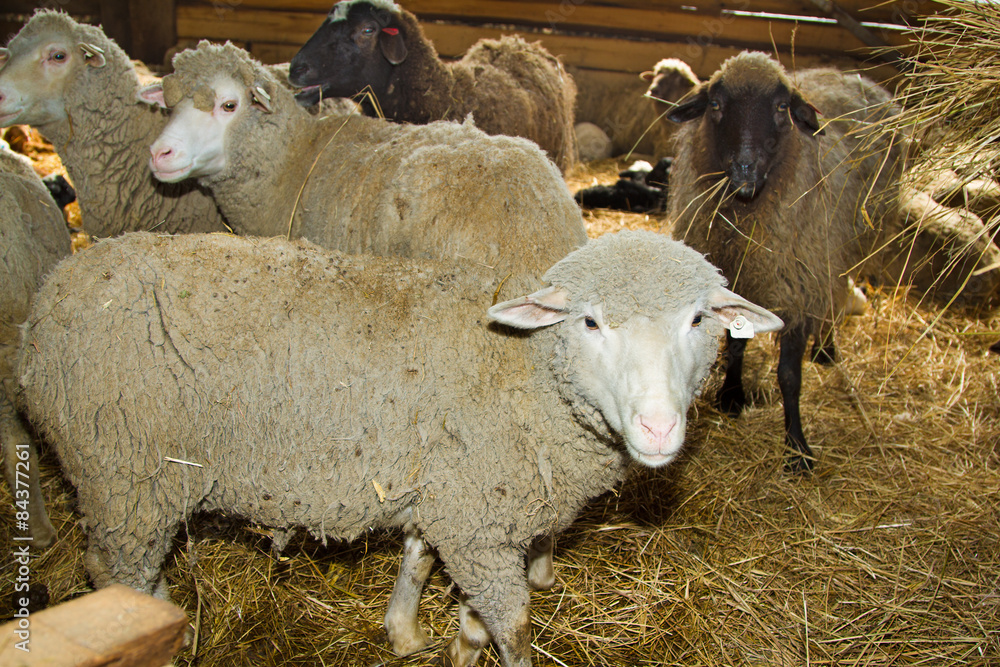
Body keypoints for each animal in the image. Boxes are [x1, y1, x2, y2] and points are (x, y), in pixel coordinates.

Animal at [18, 229, 782, 667]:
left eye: (698, 319)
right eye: (590, 322)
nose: (658, 429)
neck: (522, 372)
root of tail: (46, 304)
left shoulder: (448, 494)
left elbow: (418, 561)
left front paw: (410, 634)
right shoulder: (479, 525)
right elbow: (514, 627)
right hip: (125, 477)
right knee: (120, 572)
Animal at [667, 51, 903, 472]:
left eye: (781, 107)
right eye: (716, 104)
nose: (745, 167)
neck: (745, 219)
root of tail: (847, 75)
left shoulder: (799, 286)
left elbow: (790, 375)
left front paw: (797, 446)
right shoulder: (734, 279)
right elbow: (736, 345)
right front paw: (732, 396)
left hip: (840, 251)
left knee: (836, 290)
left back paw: (826, 348)